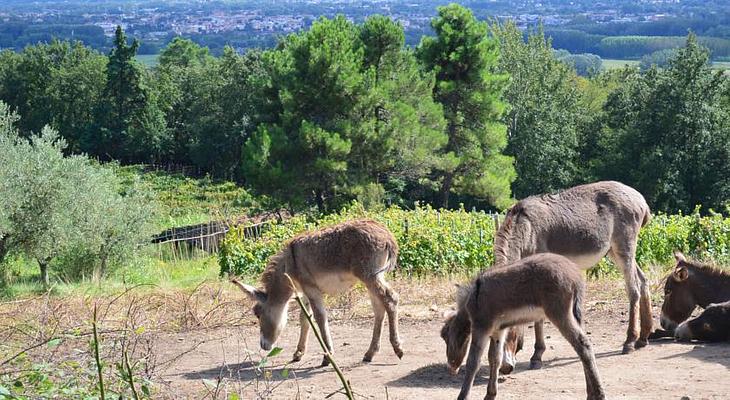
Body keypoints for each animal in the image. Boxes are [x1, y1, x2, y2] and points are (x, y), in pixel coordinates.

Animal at [444, 255, 604, 398]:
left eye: (445, 337)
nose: (451, 369)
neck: (474, 299)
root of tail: (575, 275)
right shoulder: (498, 331)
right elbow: (495, 359)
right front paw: (490, 394)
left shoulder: (481, 327)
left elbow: (473, 362)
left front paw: (463, 396)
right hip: (575, 315)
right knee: (583, 349)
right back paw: (591, 392)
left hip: (559, 314)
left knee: (583, 345)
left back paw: (598, 394)